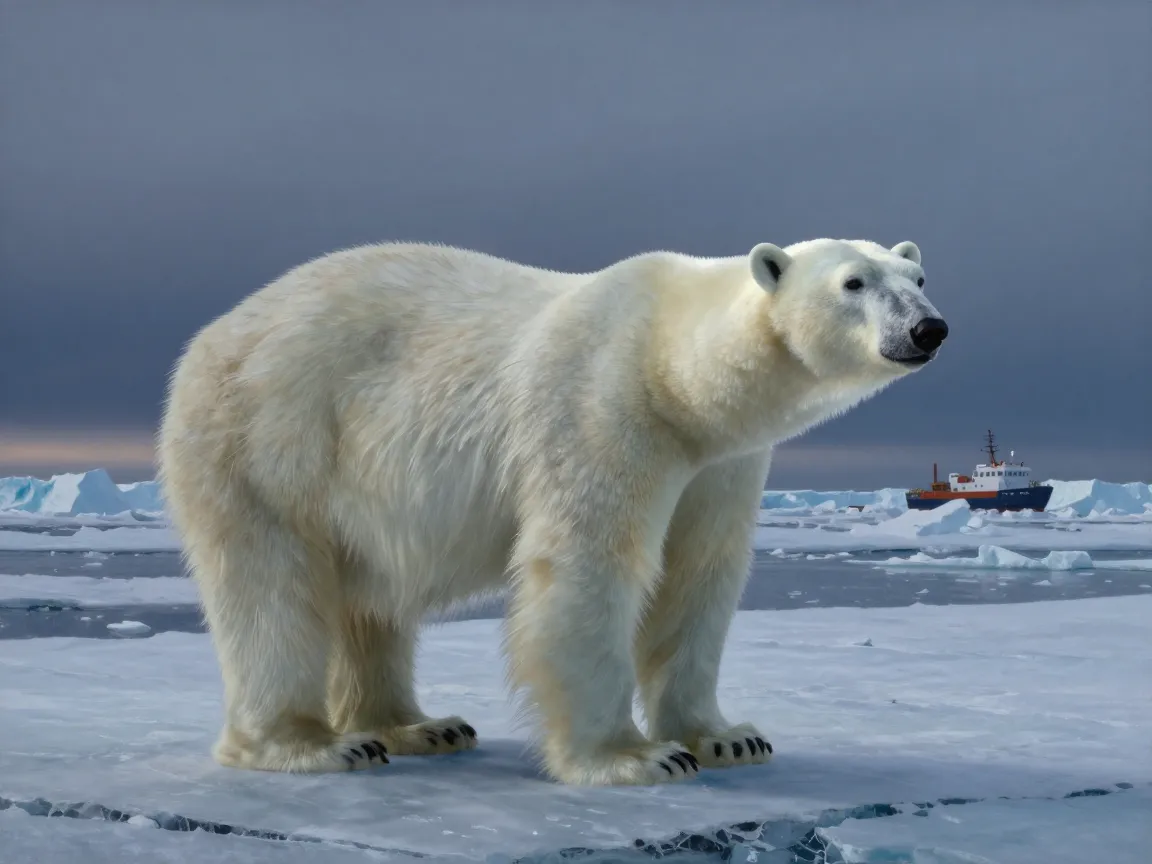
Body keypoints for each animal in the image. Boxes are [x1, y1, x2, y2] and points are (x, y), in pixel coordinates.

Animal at [158, 237, 947, 786]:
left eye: (917, 278)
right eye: (853, 282)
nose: (928, 330)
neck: (673, 367)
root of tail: (208, 337)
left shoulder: (721, 464)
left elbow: (699, 577)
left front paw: (728, 737)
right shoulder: (602, 409)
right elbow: (589, 567)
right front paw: (635, 758)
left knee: (367, 604)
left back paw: (420, 726)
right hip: (268, 439)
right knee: (272, 588)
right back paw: (315, 743)